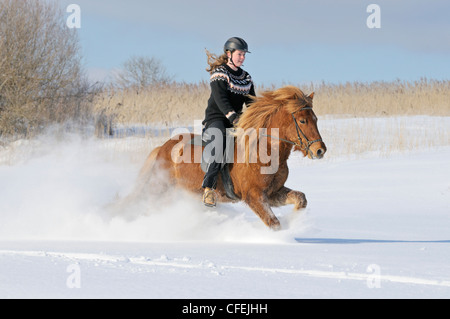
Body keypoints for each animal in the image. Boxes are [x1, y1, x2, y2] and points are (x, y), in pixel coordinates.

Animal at [134, 85, 326, 230]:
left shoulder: (273, 193)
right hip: (163, 189)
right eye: (302, 121)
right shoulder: (254, 195)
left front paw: (295, 221)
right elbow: (274, 223)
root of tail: (163, 147)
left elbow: (301, 198)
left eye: (315, 119)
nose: (320, 150)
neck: (265, 151)